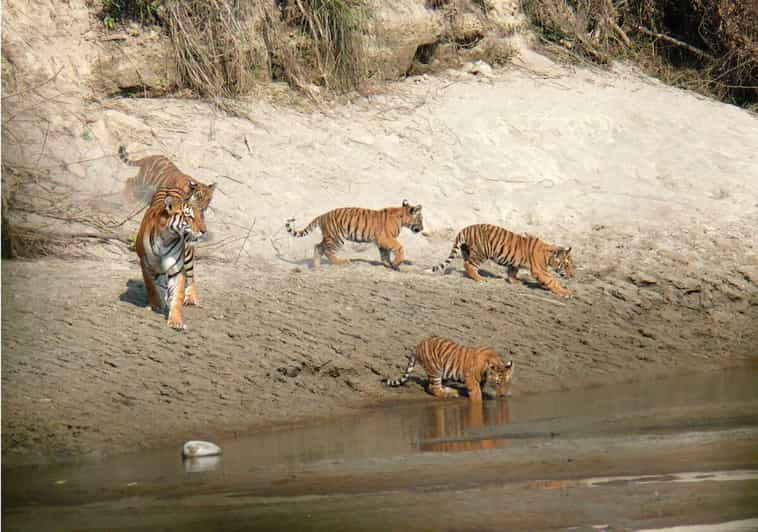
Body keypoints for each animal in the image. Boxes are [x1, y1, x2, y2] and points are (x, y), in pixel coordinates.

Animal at [137, 186, 208, 328]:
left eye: (200, 216)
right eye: (189, 216)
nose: (204, 231)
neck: (166, 238)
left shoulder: (177, 270)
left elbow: (178, 296)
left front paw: (176, 321)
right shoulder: (145, 264)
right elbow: (151, 286)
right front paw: (157, 304)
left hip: (188, 256)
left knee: (192, 277)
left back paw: (191, 298)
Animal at [286, 202, 424, 272]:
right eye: (421, 219)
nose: (422, 229)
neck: (402, 218)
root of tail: (322, 215)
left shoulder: (382, 241)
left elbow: (385, 254)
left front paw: (390, 264)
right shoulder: (385, 238)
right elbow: (399, 247)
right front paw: (396, 263)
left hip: (329, 237)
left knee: (318, 246)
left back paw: (316, 266)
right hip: (336, 238)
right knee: (327, 251)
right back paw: (343, 262)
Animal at [386, 336, 516, 404]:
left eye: (507, 382)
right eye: (497, 383)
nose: (503, 395)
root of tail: (418, 345)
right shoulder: (471, 379)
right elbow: (476, 394)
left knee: (434, 386)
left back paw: (453, 391)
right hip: (435, 370)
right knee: (433, 388)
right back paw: (450, 394)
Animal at [434, 222, 576, 298]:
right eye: (566, 265)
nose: (573, 275)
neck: (549, 256)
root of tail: (465, 229)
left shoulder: (514, 263)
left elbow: (512, 271)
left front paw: (515, 281)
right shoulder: (540, 271)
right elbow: (552, 281)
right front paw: (566, 292)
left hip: (467, 251)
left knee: (466, 264)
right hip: (481, 253)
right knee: (468, 264)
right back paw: (480, 279)